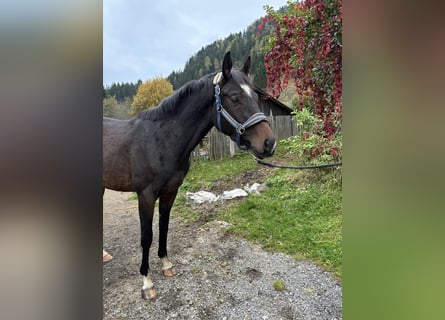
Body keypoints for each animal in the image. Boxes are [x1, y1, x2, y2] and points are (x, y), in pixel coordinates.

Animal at [104, 52, 276, 300]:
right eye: (234, 97)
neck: (162, 140)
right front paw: (147, 282)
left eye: (255, 95)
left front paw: (166, 265)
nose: (269, 143)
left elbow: (164, 227)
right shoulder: (145, 196)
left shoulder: (170, 191)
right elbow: (146, 236)